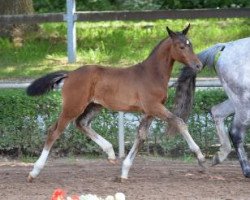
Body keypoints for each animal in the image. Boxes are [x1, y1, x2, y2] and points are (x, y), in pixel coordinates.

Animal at [26, 24, 205, 182]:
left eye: (191, 44)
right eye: (181, 47)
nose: (199, 65)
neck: (151, 74)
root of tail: (69, 74)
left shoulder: (149, 112)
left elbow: (141, 135)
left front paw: (124, 172)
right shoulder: (154, 107)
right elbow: (179, 122)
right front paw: (201, 159)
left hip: (94, 106)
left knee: (82, 123)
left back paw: (111, 153)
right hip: (73, 106)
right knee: (54, 131)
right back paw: (34, 171)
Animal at [170, 38, 250, 178]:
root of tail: (226, 47)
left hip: (237, 101)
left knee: (217, 111)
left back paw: (219, 156)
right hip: (244, 101)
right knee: (236, 132)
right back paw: (246, 171)